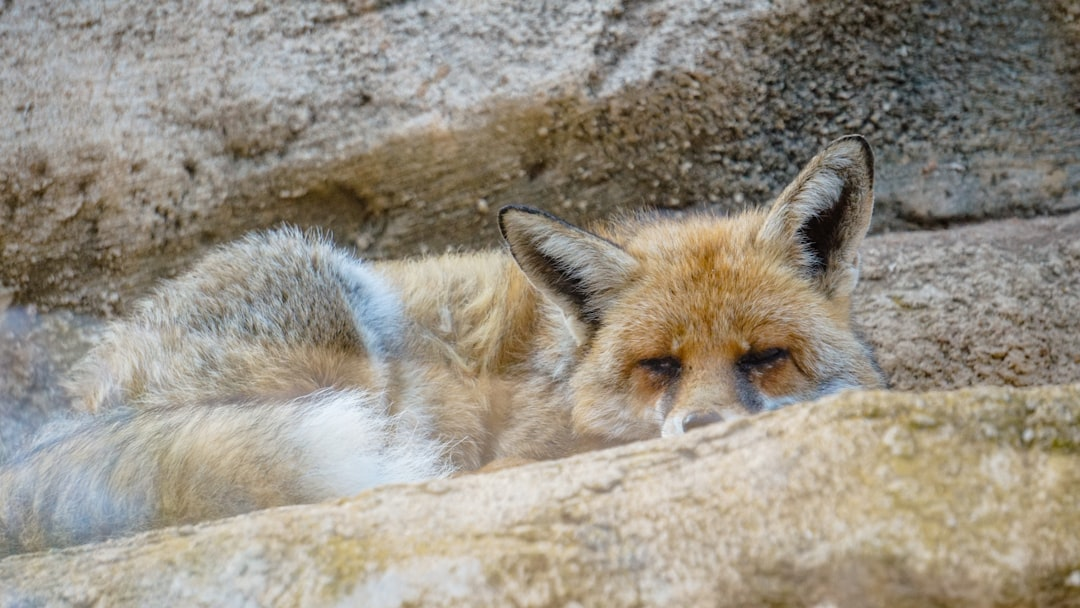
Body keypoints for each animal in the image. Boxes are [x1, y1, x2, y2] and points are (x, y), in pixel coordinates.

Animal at [0, 135, 884, 556]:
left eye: (764, 357)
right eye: (657, 367)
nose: (704, 433)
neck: (558, 370)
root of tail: (64, 414)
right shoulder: (511, 460)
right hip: (337, 310)